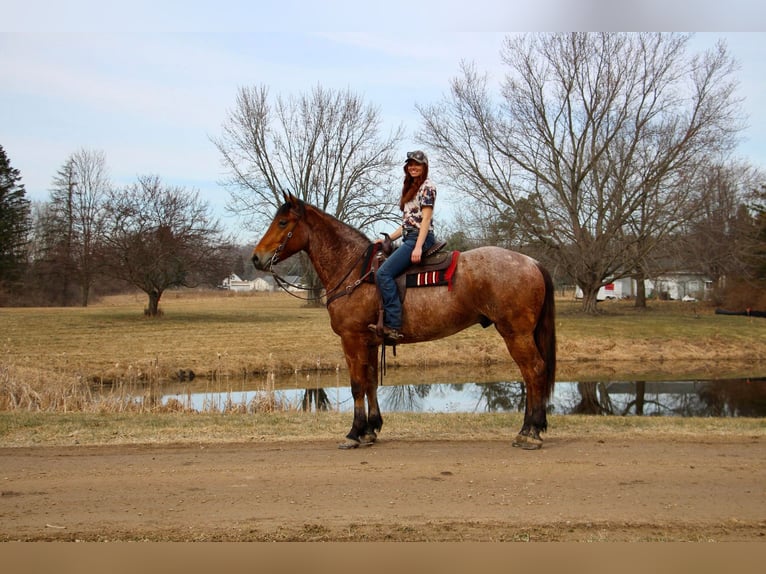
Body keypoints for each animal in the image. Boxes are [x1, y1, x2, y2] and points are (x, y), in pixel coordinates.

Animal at [254, 196, 560, 452]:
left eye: (283, 222)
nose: (256, 258)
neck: (354, 270)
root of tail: (532, 261)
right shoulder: (369, 342)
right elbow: (370, 382)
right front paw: (371, 430)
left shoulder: (351, 339)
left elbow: (357, 385)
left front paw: (354, 433)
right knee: (533, 373)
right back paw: (532, 428)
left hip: (516, 333)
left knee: (534, 371)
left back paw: (529, 432)